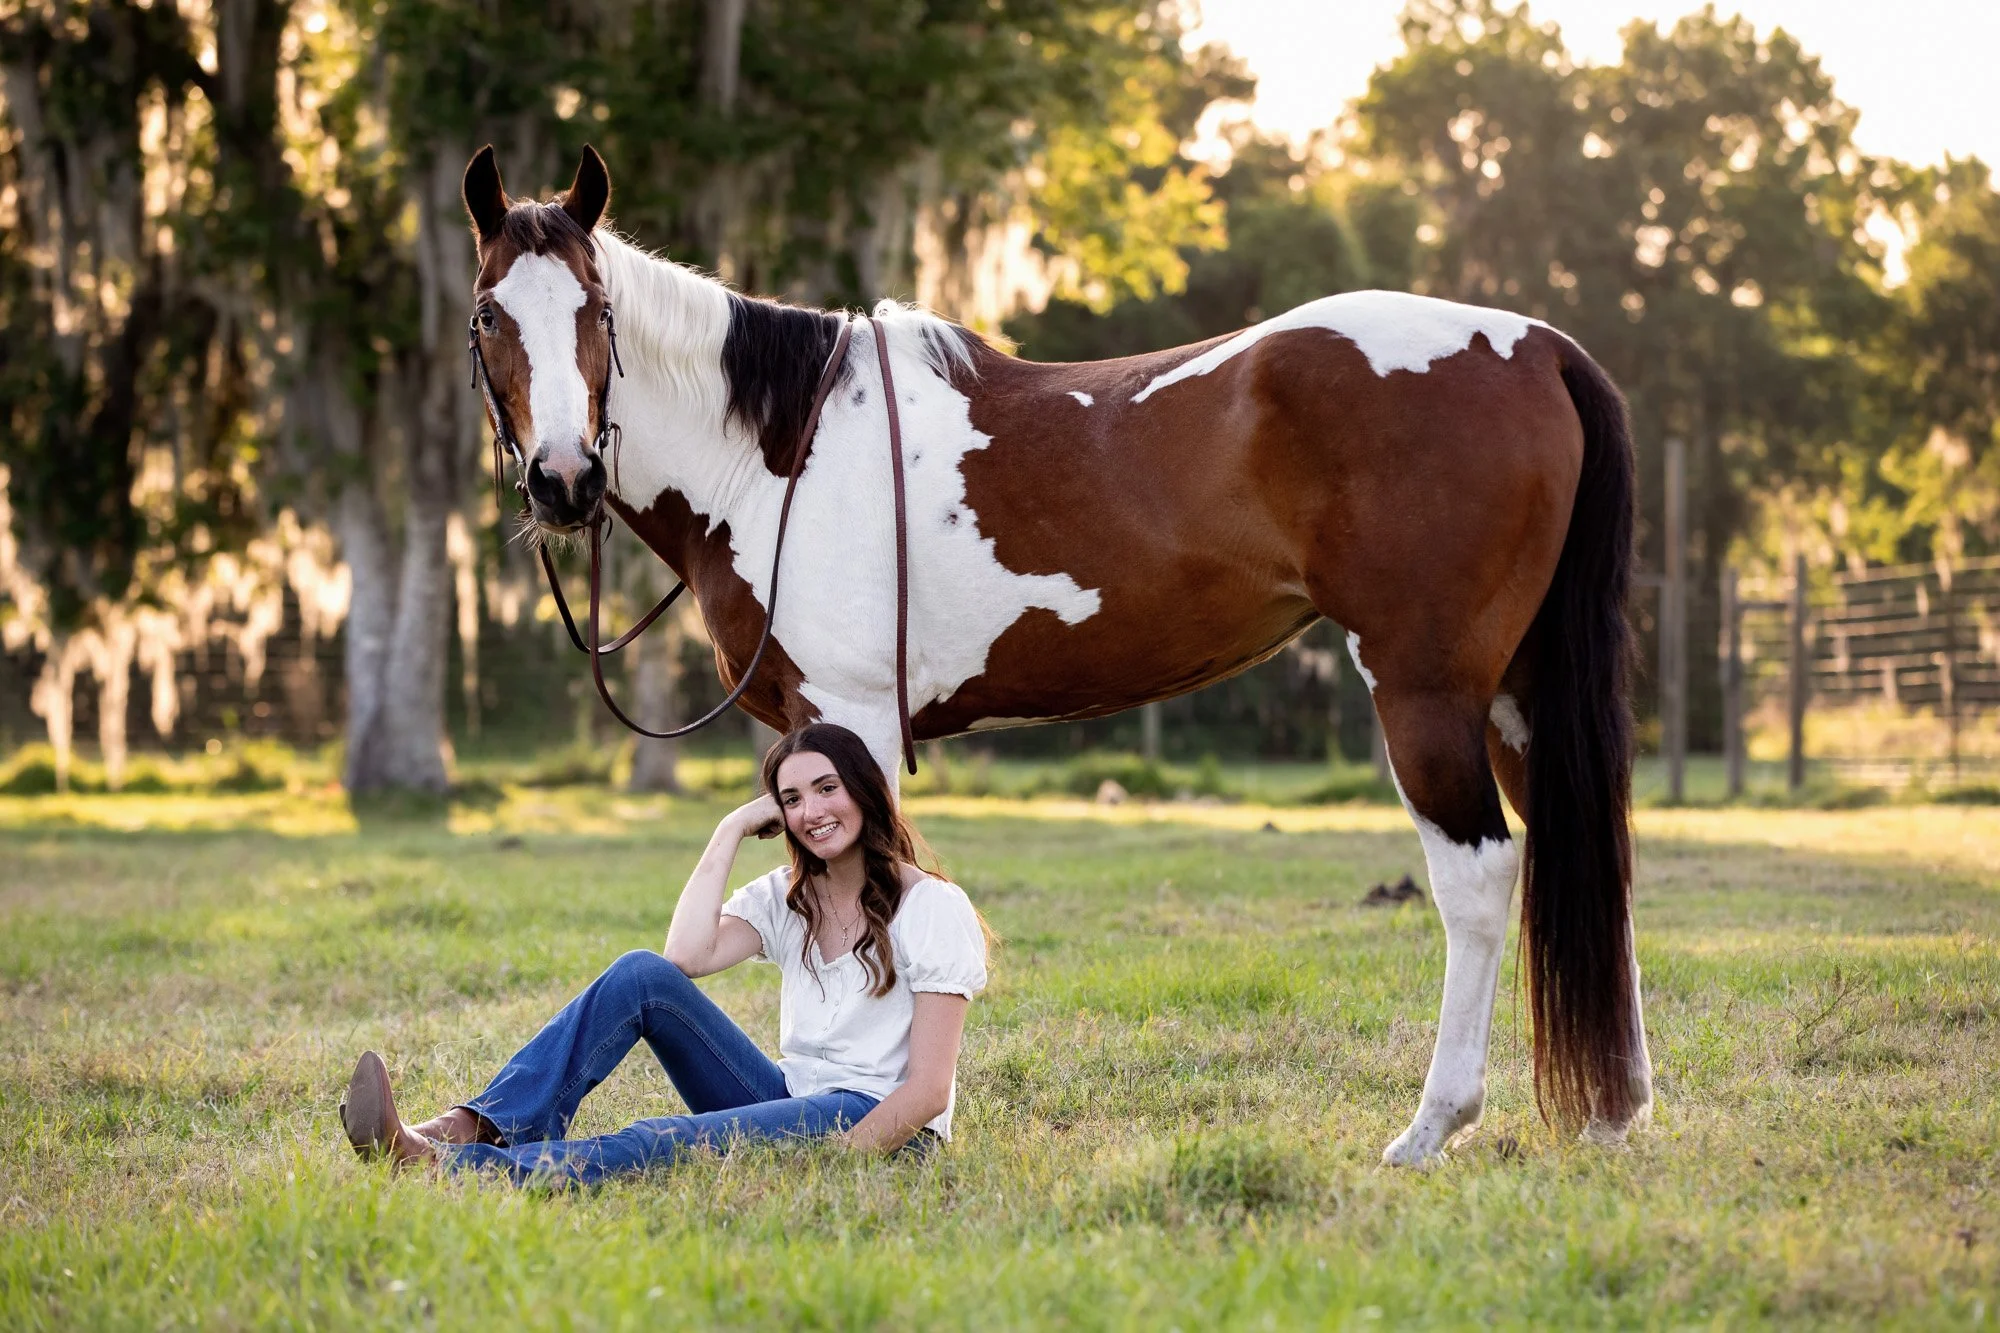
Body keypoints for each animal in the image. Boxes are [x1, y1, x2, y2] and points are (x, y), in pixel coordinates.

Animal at [460, 144, 1652, 1167]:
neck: (779, 455)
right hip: (1516, 697)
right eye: (486, 315)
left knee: (1479, 876)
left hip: (1426, 690)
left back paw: (1431, 1126)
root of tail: (1538, 344)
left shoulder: (856, 720)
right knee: (1580, 844)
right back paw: (1614, 1111)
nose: (561, 479)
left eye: (597, 309)